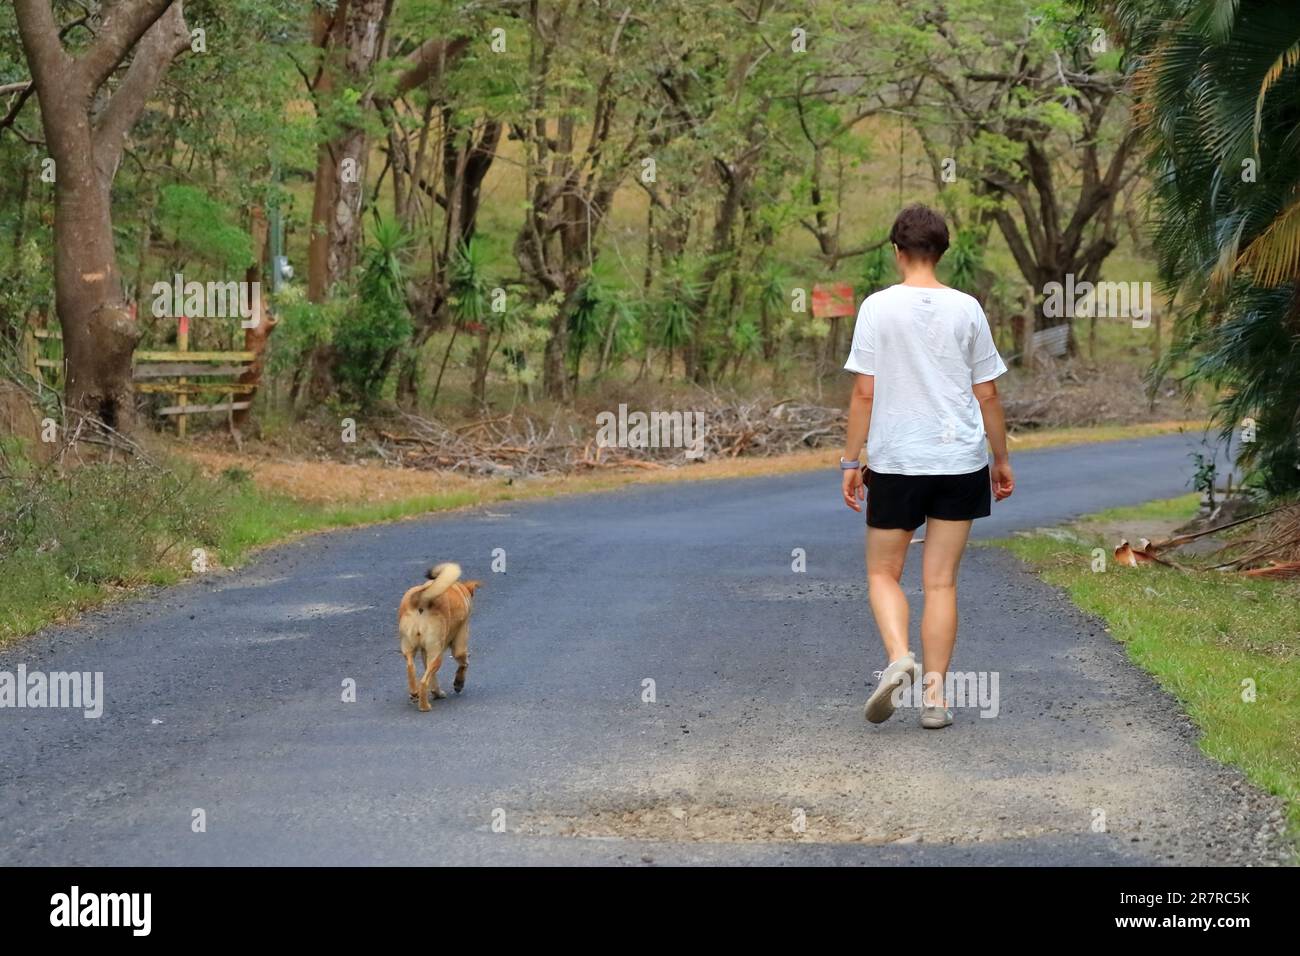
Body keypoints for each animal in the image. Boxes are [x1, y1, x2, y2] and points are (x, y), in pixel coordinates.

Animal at [395, 561, 483, 712]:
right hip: (437, 654)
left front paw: (436, 692)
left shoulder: (425, 653)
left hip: (411, 650)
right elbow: (464, 663)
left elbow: (433, 677)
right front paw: (458, 683)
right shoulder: (459, 645)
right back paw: (424, 706)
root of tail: (422, 599)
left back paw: (415, 693)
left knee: (411, 669)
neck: (458, 589)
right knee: (423, 681)